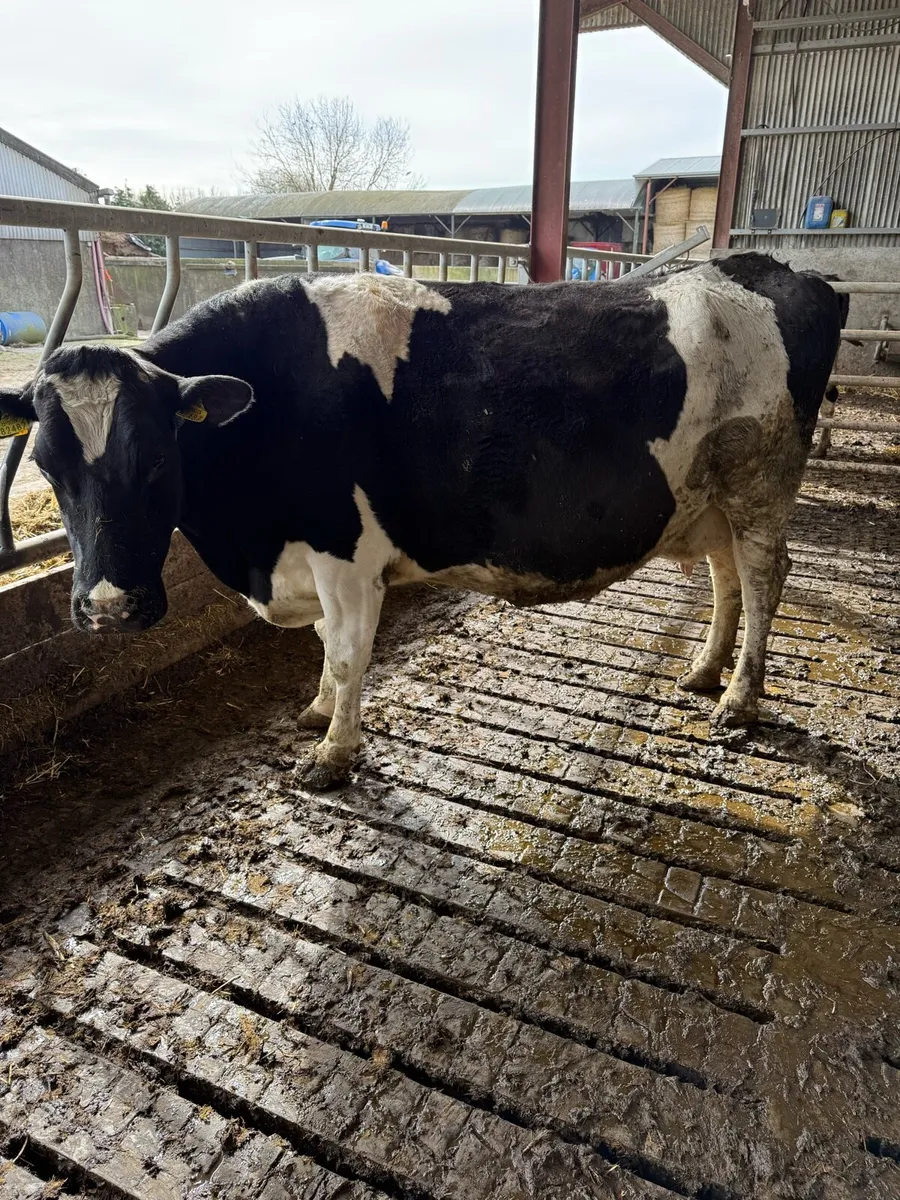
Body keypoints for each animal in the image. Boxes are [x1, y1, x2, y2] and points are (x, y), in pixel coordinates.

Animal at [0, 253, 843, 789]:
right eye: (47, 464)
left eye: (154, 458)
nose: (108, 609)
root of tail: (772, 269)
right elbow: (324, 650)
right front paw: (316, 713)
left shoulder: (344, 556)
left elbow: (346, 655)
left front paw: (333, 754)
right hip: (712, 493)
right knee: (726, 577)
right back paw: (704, 671)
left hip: (762, 479)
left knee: (764, 579)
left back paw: (739, 700)